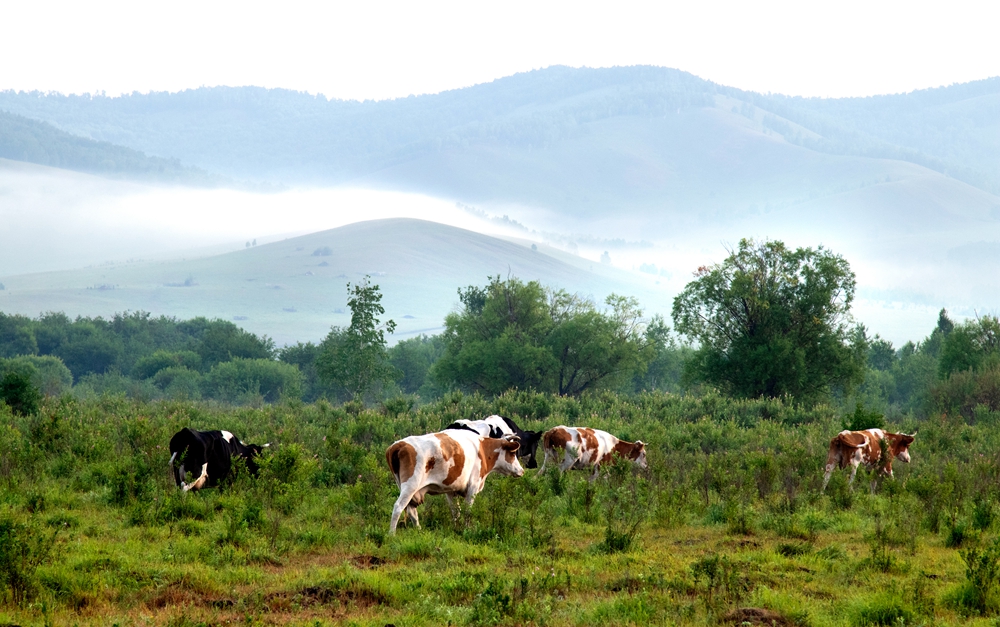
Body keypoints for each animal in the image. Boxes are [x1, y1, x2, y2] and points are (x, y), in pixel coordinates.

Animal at [385, 430, 524, 534]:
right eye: (512, 454)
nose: (521, 471)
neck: (482, 450)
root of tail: (398, 445)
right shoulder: (473, 486)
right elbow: (468, 511)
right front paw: (467, 529)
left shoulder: (451, 490)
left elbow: (456, 511)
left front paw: (456, 529)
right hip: (410, 485)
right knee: (398, 507)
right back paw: (392, 534)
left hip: (406, 487)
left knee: (411, 510)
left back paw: (419, 531)